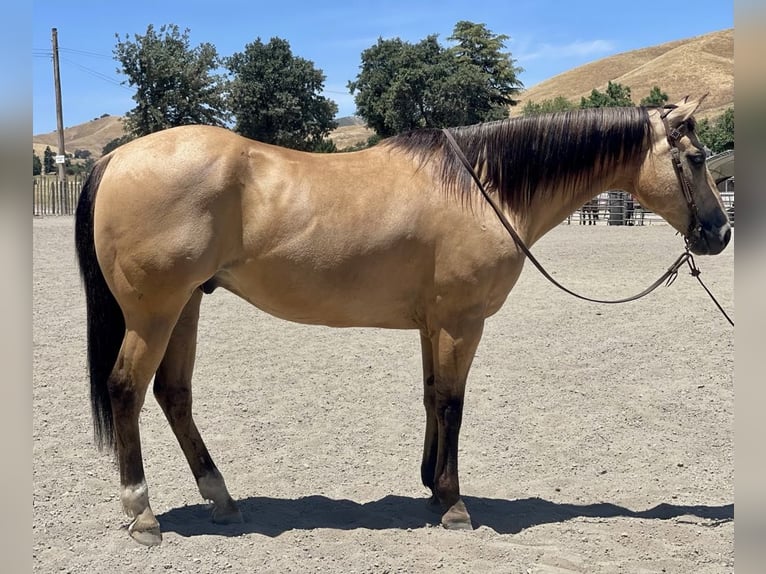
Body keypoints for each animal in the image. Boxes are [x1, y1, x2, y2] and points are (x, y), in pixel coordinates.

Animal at [74, 96, 731, 546]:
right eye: (695, 159)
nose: (719, 232)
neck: (481, 187)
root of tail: (117, 158)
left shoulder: (432, 324)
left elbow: (431, 396)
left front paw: (432, 488)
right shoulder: (462, 322)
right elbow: (453, 404)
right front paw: (455, 505)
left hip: (187, 305)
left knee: (174, 395)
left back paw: (222, 499)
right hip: (155, 312)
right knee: (127, 390)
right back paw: (142, 513)